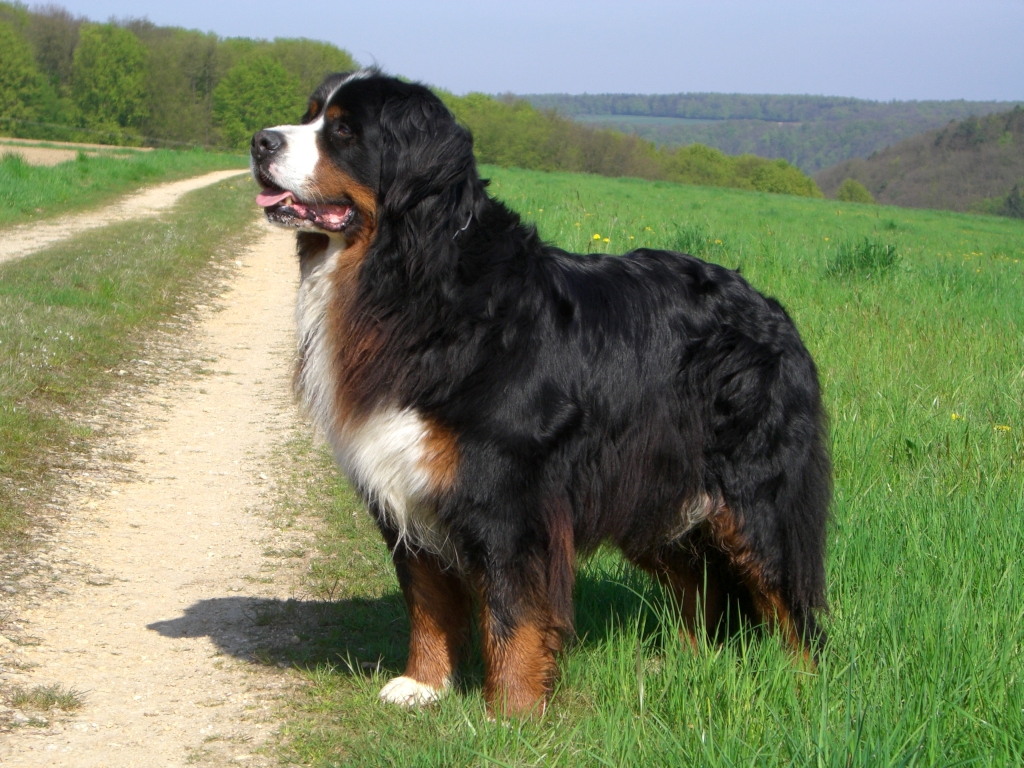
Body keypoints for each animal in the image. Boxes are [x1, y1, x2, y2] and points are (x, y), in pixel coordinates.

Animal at [249, 69, 831, 720]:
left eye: (345, 131)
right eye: (310, 114)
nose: (260, 141)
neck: (410, 282)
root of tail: (772, 310)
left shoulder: (508, 495)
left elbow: (512, 611)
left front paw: (511, 711)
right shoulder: (407, 484)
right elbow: (426, 598)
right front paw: (423, 685)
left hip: (754, 494)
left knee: (788, 595)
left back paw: (803, 682)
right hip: (653, 488)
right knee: (699, 582)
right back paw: (682, 662)